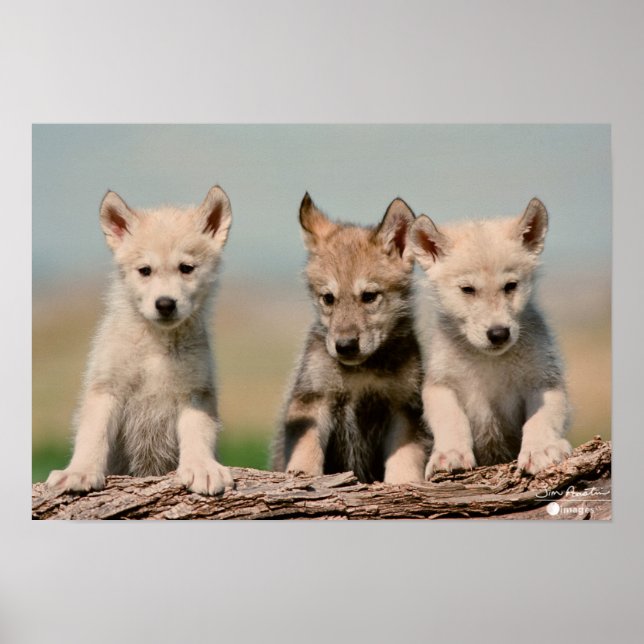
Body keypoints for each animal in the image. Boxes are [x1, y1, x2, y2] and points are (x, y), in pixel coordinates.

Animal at [46, 186, 235, 495]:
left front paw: (202, 468)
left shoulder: (196, 392)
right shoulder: (106, 388)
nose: (165, 304)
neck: (156, 343)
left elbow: (198, 433)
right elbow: (93, 435)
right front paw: (80, 471)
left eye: (186, 268)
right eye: (145, 270)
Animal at [271, 193, 430, 484]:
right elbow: (306, 449)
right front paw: (302, 477)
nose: (345, 346)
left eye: (369, 296)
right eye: (328, 298)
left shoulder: (405, 408)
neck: (361, 372)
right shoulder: (313, 399)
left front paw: (404, 482)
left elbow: (406, 457)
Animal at [409, 198, 572, 476]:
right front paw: (450, 453)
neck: (489, 362)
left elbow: (541, 418)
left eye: (510, 286)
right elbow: (450, 419)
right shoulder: (440, 384)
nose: (498, 334)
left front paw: (540, 449)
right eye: (467, 290)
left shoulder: (544, 381)